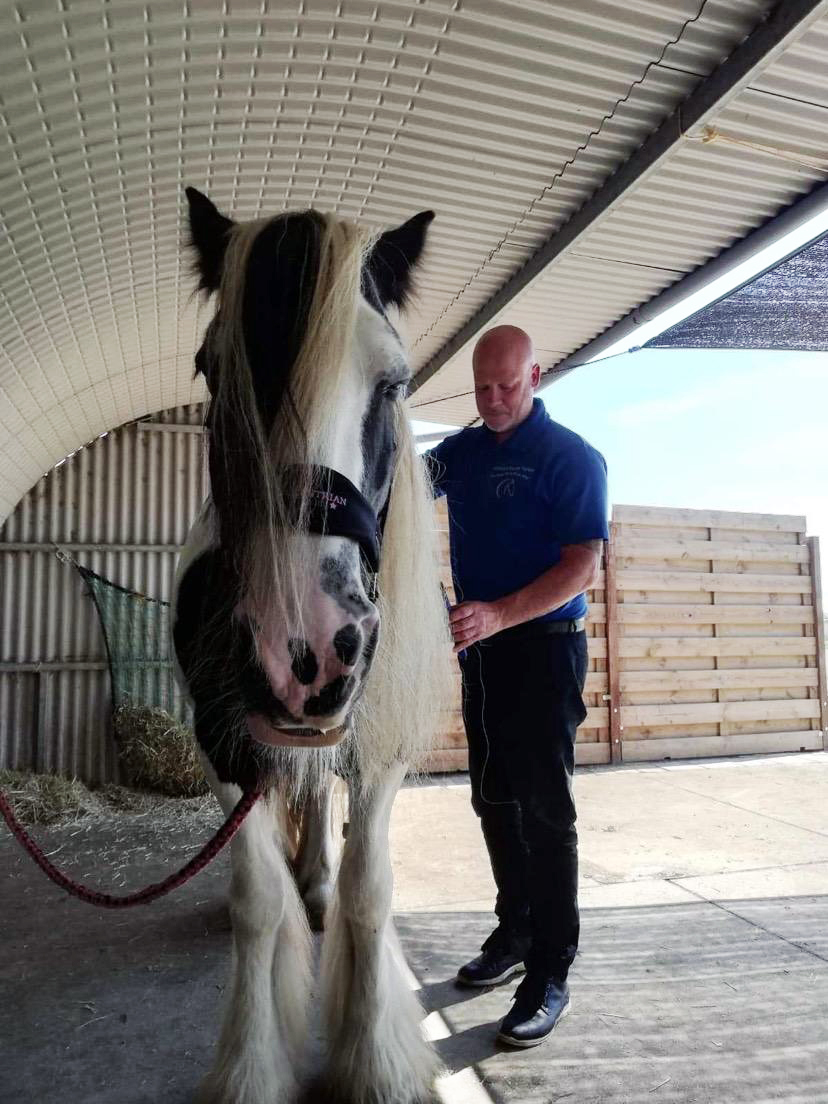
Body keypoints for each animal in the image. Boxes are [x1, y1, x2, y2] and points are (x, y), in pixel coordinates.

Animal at [175, 192, 457, 1104]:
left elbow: (371, 890)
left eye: (395, 381)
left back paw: (318, 884)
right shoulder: (224, 740)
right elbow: (255, 901)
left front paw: (376, 1062)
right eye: (211, 367)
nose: (303, 652)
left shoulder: (379, 746)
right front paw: (250, 1066)